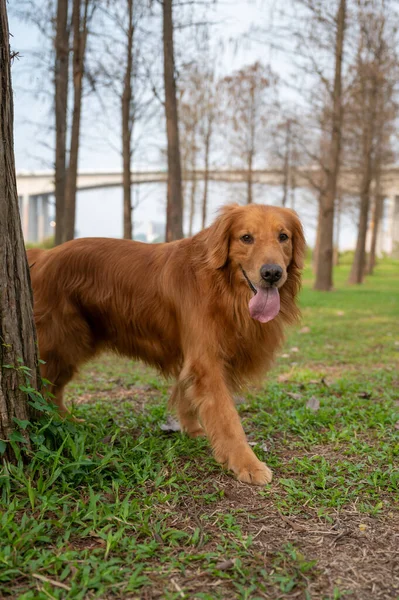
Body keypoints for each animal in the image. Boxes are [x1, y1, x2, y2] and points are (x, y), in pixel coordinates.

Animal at [28, 204, 304, 486]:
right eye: (246, 237)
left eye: (283, 237)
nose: (272, 273)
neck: (223, 288)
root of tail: (43, 255)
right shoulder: (207, 362)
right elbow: (227, 417)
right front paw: (247, 462)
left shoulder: (194, 358)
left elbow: (188, 396)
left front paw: (192, 430)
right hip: (61, 343)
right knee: (44, 388)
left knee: (54, 388)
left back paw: (68, 421)